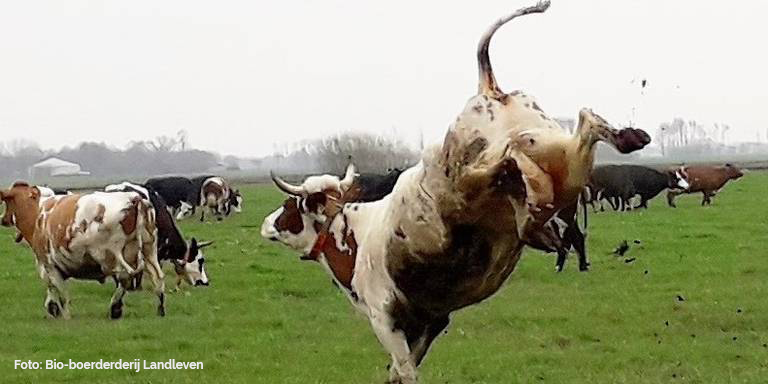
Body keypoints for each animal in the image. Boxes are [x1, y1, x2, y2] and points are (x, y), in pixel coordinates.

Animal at [0, 182, 166, 320]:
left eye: (7, 202)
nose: (3, 219)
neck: (38, 213)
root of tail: (134, 198)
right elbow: (53, 289)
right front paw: (53, 308)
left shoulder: (48, 264)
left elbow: (61, 293)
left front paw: (64, 315)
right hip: (149, 248)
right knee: (157, 276)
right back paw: (160, 310)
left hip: (115, 255)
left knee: (125, 278)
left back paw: (115, 307)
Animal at [260, 2, 648, 380]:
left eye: (290, 204)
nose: (266, 223)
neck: (352, 232)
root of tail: (489, 89)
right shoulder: (431, 319)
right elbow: (402, 369)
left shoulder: (385, 318)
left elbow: (404, 370)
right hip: (561, 161)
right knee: (584, 123)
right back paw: (617, 146)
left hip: (461, 181)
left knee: (500, 165)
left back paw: (523, 197)